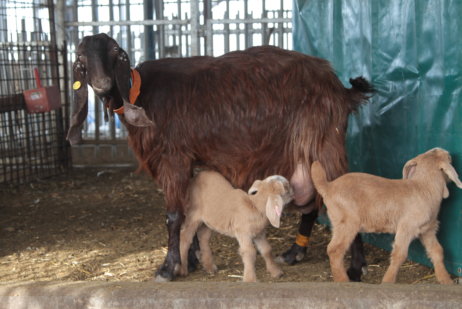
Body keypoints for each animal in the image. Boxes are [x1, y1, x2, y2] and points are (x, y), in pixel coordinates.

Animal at [67, 32, 374, 280]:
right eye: (81, 57)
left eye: (114, 52)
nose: (103, 83)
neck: (142, 93)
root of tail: (339, 87)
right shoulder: (187, 160)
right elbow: (189, 208)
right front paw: (189, 260)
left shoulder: (173, 157)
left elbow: (174, 215)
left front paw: (168, 268)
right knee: (310, 201)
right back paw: (294, 252)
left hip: (325, 142)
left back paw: (356, 268)